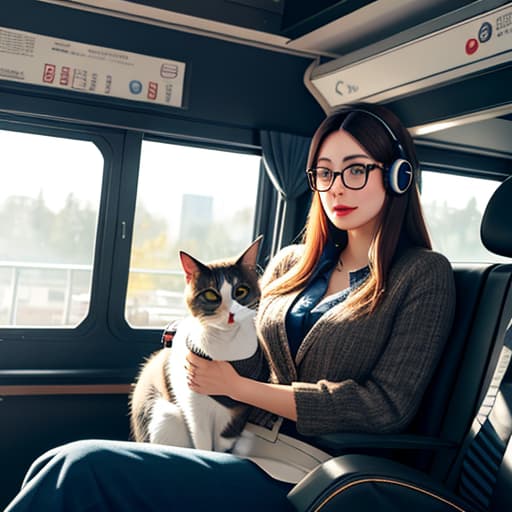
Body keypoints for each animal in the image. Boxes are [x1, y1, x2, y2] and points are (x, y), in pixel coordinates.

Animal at [130, 237, 266, 452]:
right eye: (210, 295)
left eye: (241, 291)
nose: (231, 313)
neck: (226, 345)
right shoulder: (194, 408)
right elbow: (202, 441)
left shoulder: (238, 411)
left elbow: (224, 442)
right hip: (165, 416)